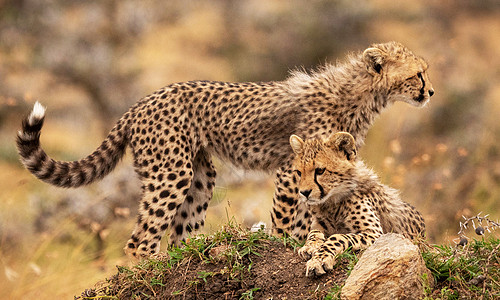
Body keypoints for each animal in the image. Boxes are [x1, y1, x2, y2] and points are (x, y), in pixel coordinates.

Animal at [17, 41, 434, 258]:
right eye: (418, 73)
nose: (430, 91)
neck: (361, 93)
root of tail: (139, 103)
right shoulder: (292, 171)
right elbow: (288, 216)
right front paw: (284, 243)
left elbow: (309, 212)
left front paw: (301, 243)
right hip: (171, 173)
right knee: (139, 241)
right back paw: (149, 269)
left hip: (201, 175)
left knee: (181, 230)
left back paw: (185, 257)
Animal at [290, 132, 426, 278]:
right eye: (299, 172)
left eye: (320, 170)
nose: (304, 192)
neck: (332, 202)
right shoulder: (319, 224)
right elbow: (314, 232)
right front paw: (309, 246)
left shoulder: (375, 233)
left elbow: (338, 237)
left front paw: (319, 260)